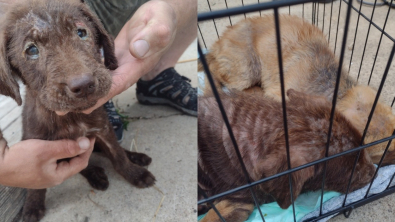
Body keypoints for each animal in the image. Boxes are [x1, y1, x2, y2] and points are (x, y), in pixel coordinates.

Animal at [0, 0, 155, 221]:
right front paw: (32, 205)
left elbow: (117, 153)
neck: (71, 119)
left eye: (81, 32)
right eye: (31, 50)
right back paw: (95, 174)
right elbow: (38, 183)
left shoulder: (103, 128)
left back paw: (136, 157)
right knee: (83, 164)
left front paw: (134, 173)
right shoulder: (38, 145)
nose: (83, 85)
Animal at [201, 14, 395, 165]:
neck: (337, 92)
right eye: (384, 153)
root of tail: (217, 44)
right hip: (245, 70)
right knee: (214, 70)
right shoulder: (278, 95)